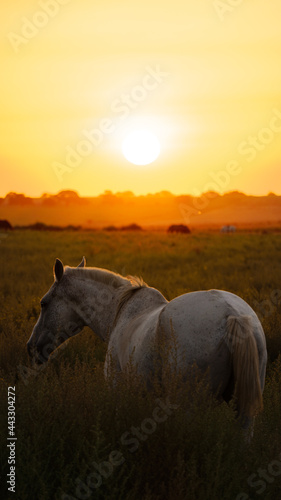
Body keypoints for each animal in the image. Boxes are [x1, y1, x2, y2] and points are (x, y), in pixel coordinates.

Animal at [27, 258, 266, 426]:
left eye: (43, 303)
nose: (31, 348)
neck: (119, 311)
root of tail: (231, 314)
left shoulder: (117, 389)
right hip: (244, 409)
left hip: (190, 406)